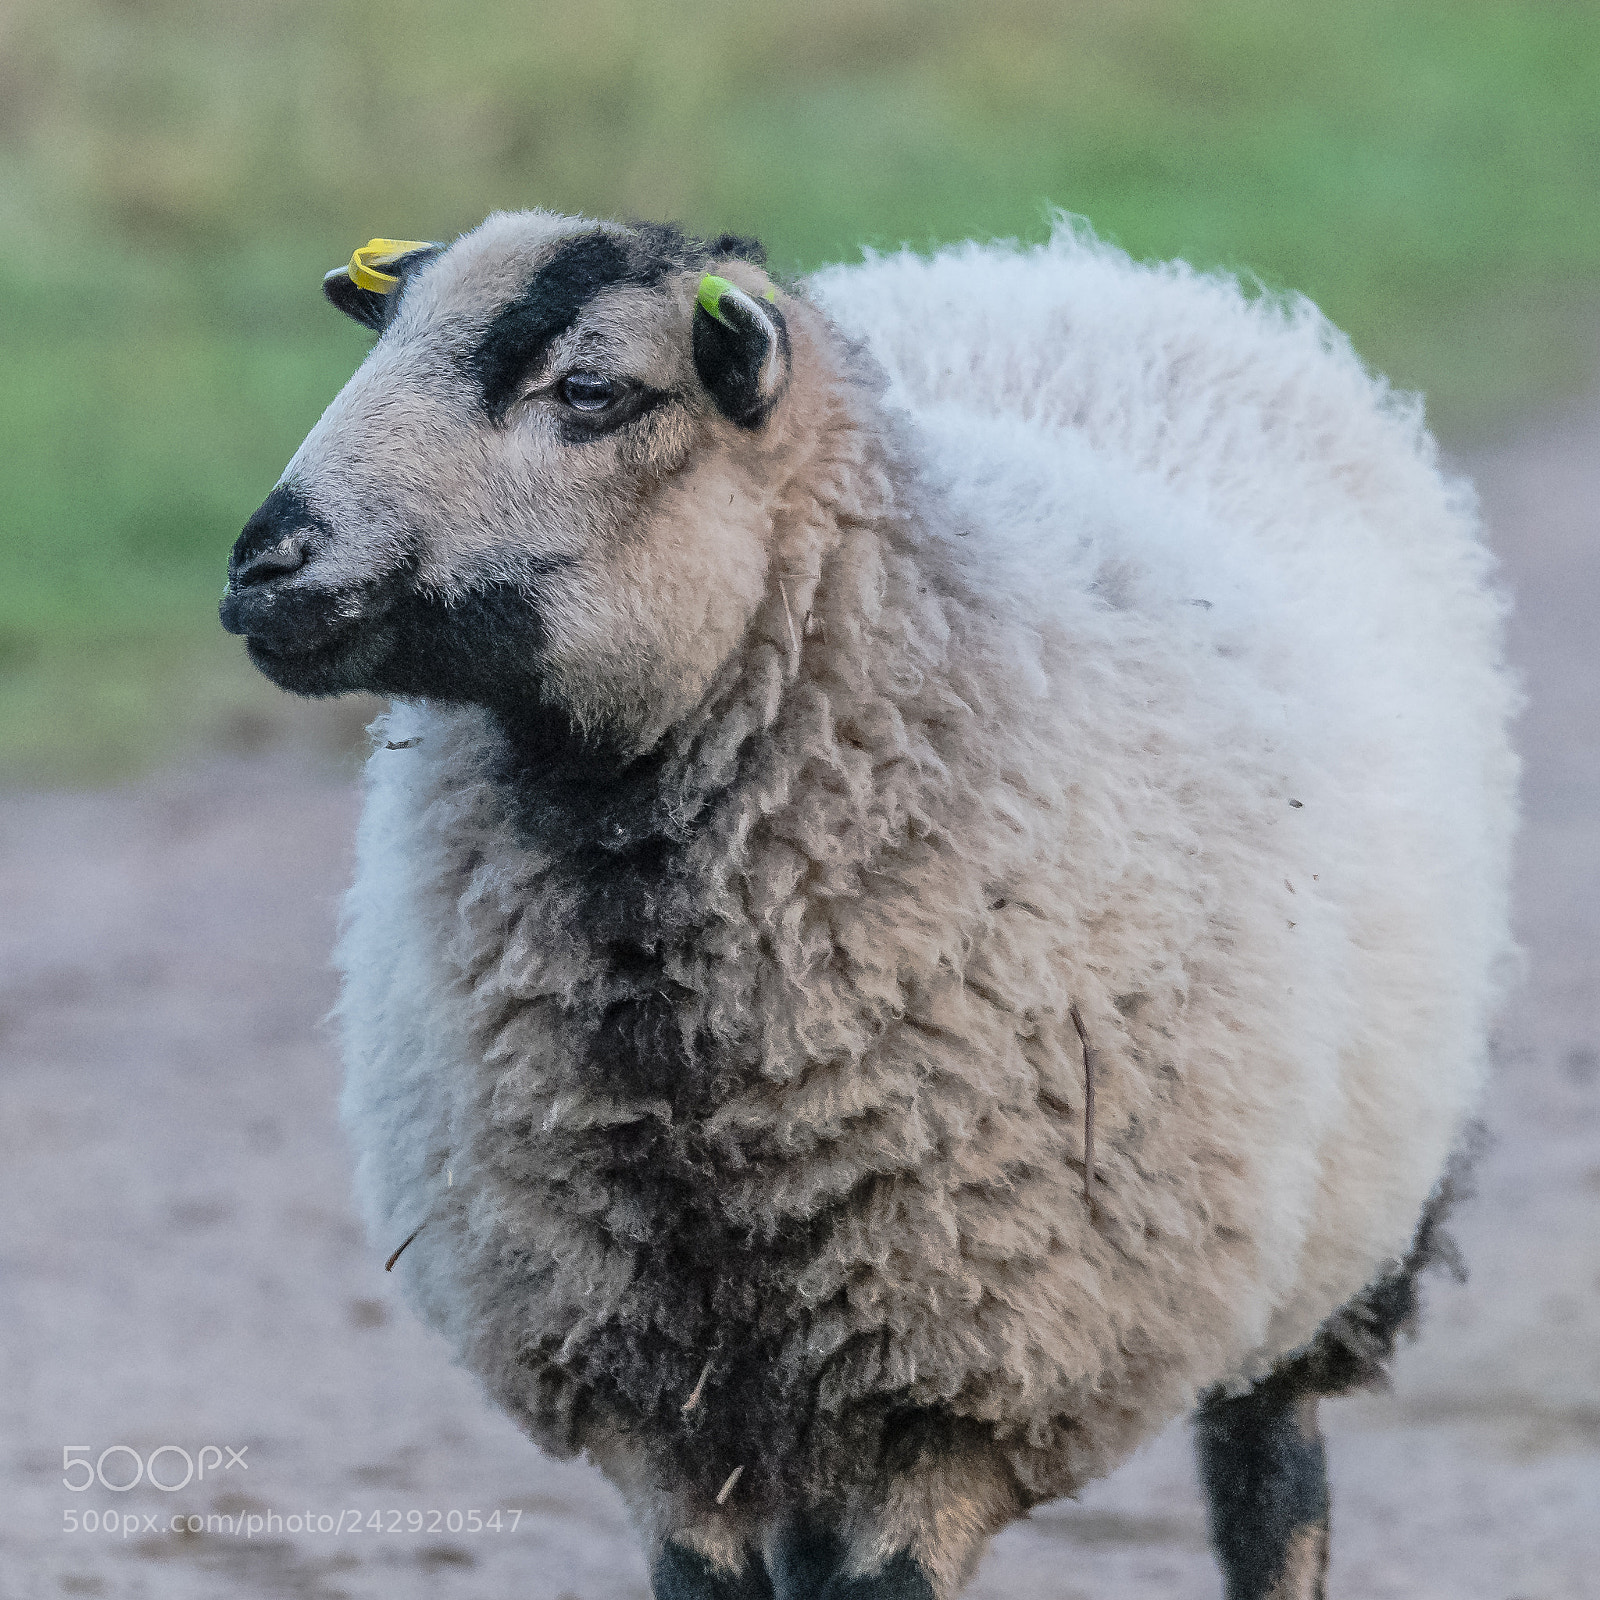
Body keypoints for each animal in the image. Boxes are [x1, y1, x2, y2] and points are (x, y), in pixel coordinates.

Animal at [220, 211, 1518, 1600]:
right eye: (383, 343)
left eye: (591, 391)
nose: (263, 567)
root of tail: (1057, 264)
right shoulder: (651, 1400)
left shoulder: (958, 1380)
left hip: (1332, 1233)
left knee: (1271, 1478)